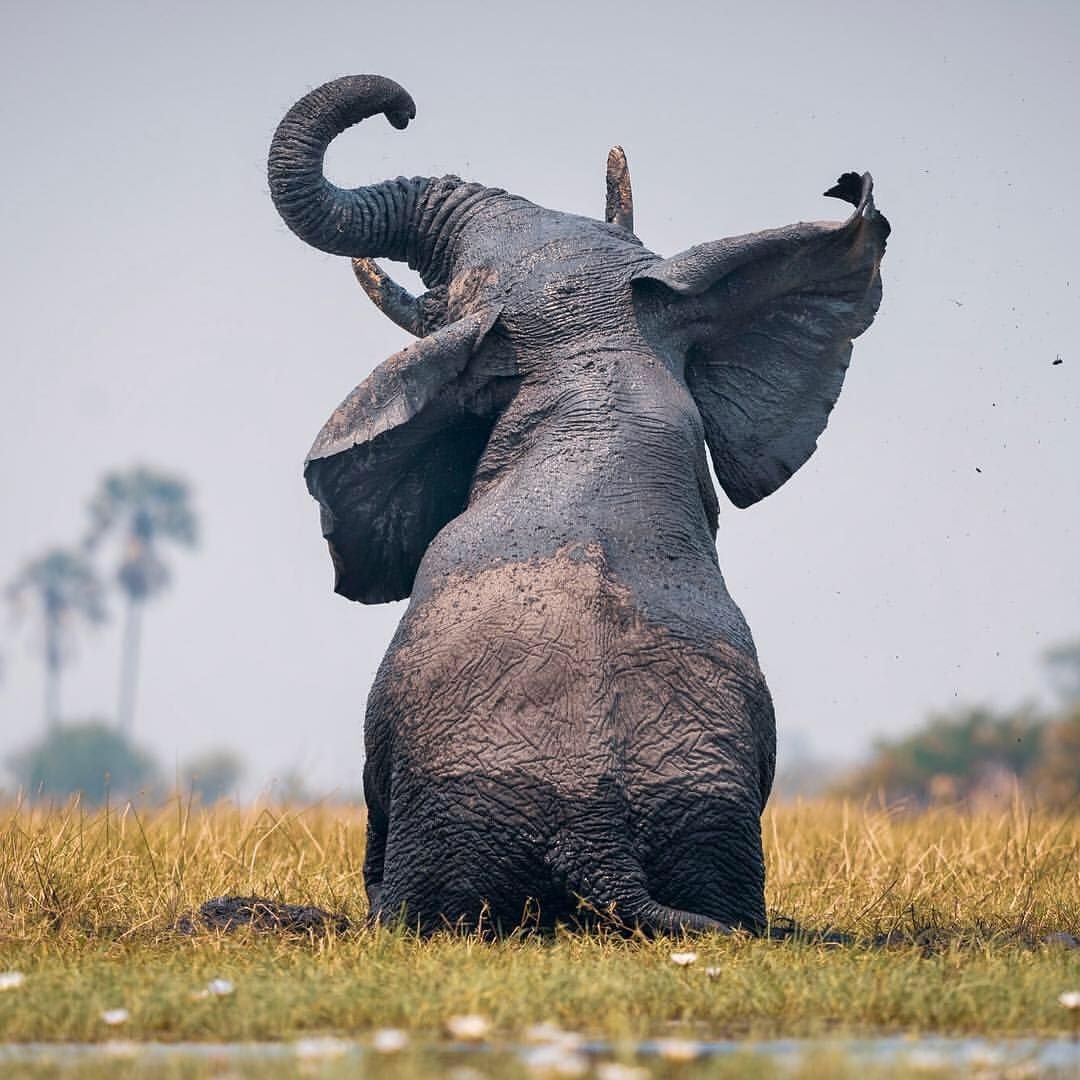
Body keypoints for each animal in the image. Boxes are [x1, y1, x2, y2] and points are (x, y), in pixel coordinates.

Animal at [267, 78, 885, 937]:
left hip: (454, 828)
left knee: (406, 908)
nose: (402, 110)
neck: (593, 379)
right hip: (715, 830)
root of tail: (598, 837)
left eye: (444, 299)